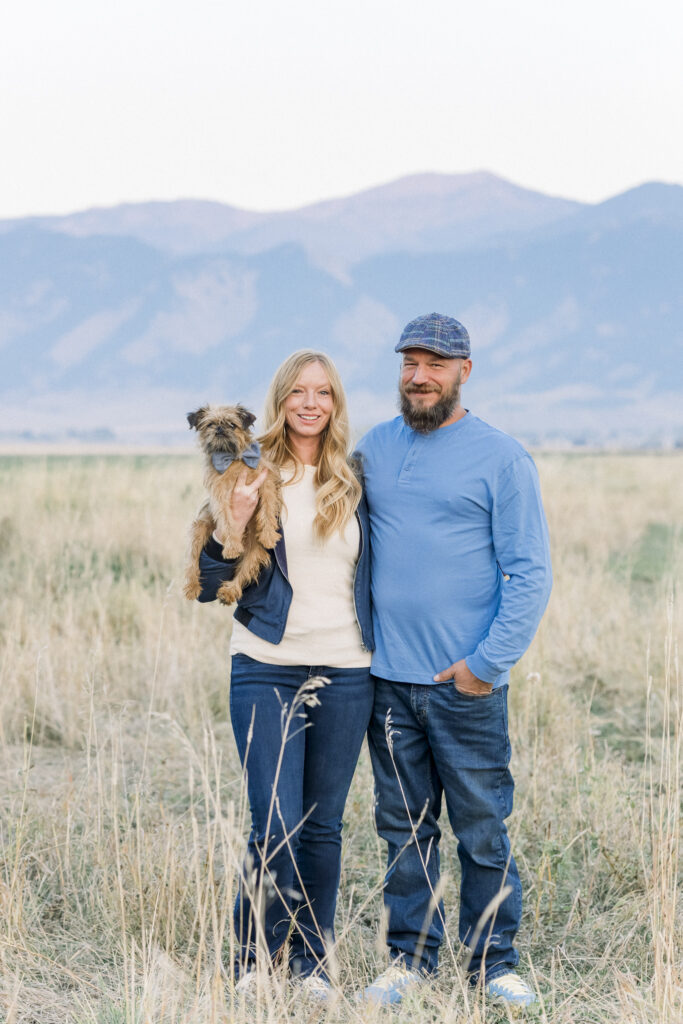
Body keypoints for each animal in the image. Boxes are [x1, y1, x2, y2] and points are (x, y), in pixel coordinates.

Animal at [183, 401, 282, 606]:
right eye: (210, 424)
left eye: (232, 425)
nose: (220, 429)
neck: (234, 459)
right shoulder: (222, 496)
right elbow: (228, 521)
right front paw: (232, 548)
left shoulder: (266, 483)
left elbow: (268, 510)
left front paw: (269, 535)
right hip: (199, 529)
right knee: (192, 562)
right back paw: (192, 586)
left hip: (255, 550)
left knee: (245, 570)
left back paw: (229, 591)